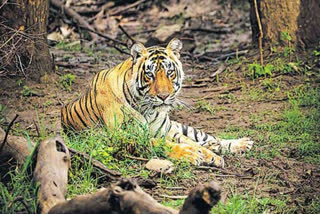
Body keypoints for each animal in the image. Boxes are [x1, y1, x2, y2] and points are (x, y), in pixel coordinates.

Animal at [61, 37, 254, 166]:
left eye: (170, 72)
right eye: (150, 74)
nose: (164, 96)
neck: (148, 109)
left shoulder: (166, 130)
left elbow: (189, 141)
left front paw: (211, 156)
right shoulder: (125, 136)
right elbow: (165, 144)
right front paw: (192, 155)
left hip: (178, 126)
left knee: (205, 137)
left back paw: (240, 143)